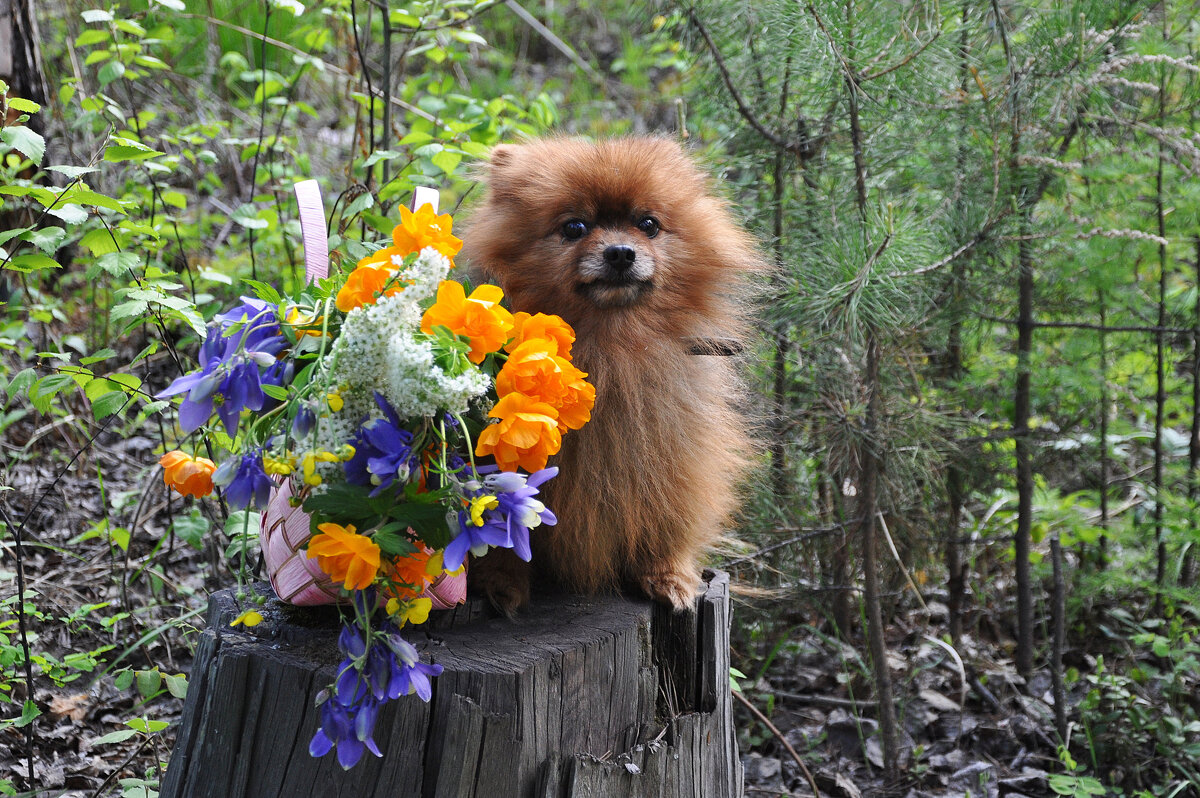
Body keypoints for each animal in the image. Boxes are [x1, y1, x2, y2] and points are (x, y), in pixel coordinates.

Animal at [458, 136, 758, 609]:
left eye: (648, 224)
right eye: (574, 228)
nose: (620, 252)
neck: (611, 346)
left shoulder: (670, 451)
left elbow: (665, 516)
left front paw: (668, 575)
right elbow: (502, 531)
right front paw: (500, 582)